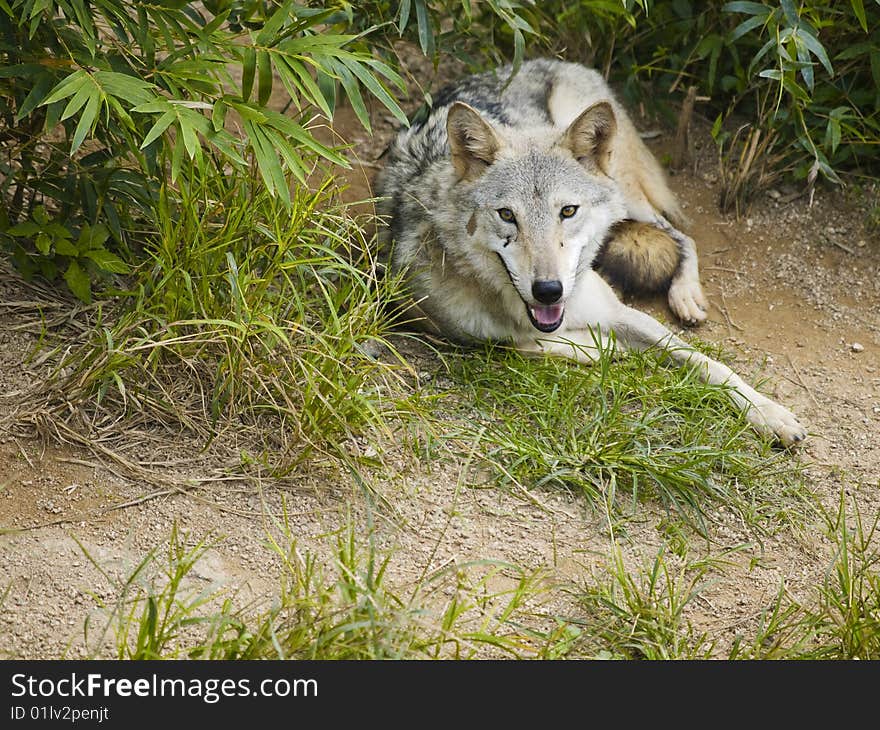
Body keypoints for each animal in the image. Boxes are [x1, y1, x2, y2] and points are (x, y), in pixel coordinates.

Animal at [372, 58, 804, 444]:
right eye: (507, 215)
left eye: (568, 211)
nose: (549, 291)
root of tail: (553, 61)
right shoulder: (447, 328)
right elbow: (531, 343)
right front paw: (604, 347)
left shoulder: (618, 311)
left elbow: (707, 361)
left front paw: (771, 414)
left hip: (627, 196)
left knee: (680, 234)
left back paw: (687, 296)